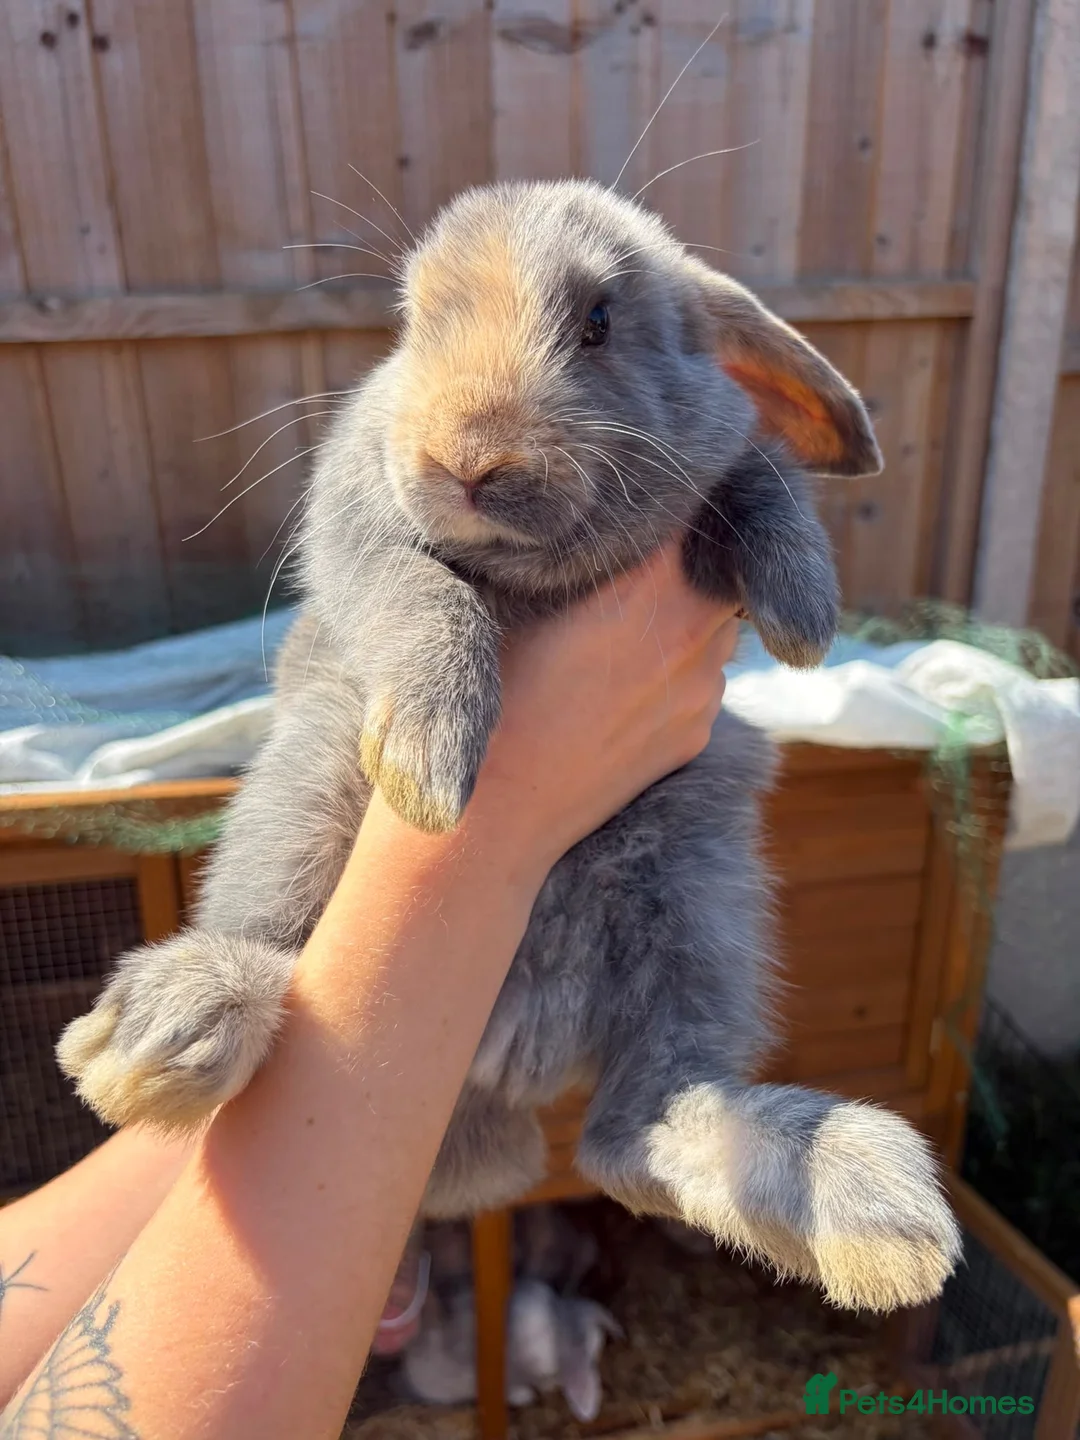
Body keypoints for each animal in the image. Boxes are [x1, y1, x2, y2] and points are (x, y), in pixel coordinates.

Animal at [57, 177, 961, 1313]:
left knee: (636, 1127)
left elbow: (763, 472)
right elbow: (420, 591)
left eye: (600, 322)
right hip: (300, 798)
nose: (466, 458)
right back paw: (169, 1027)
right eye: (412, 323)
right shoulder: (359, 525)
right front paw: (435, 759)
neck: (531, 573)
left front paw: (803, 614)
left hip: (705, 895)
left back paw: (860, 1206)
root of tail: (500, 1068)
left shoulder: (720, 457)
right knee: (272, 946)